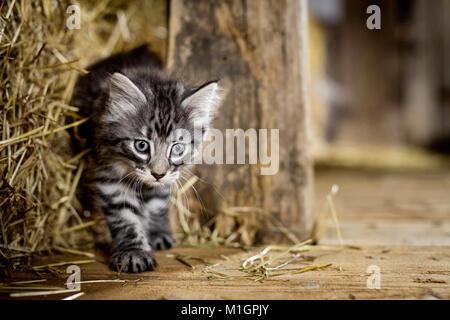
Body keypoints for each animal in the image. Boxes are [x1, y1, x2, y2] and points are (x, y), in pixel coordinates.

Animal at [72, 46, 221, 274]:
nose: (158, 174)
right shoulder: (109, 176)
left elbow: (158, 204)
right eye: (141, 146)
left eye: (177, 148)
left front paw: (157, 233)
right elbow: (126, 219)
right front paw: (134, 252)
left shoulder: (167, 179)